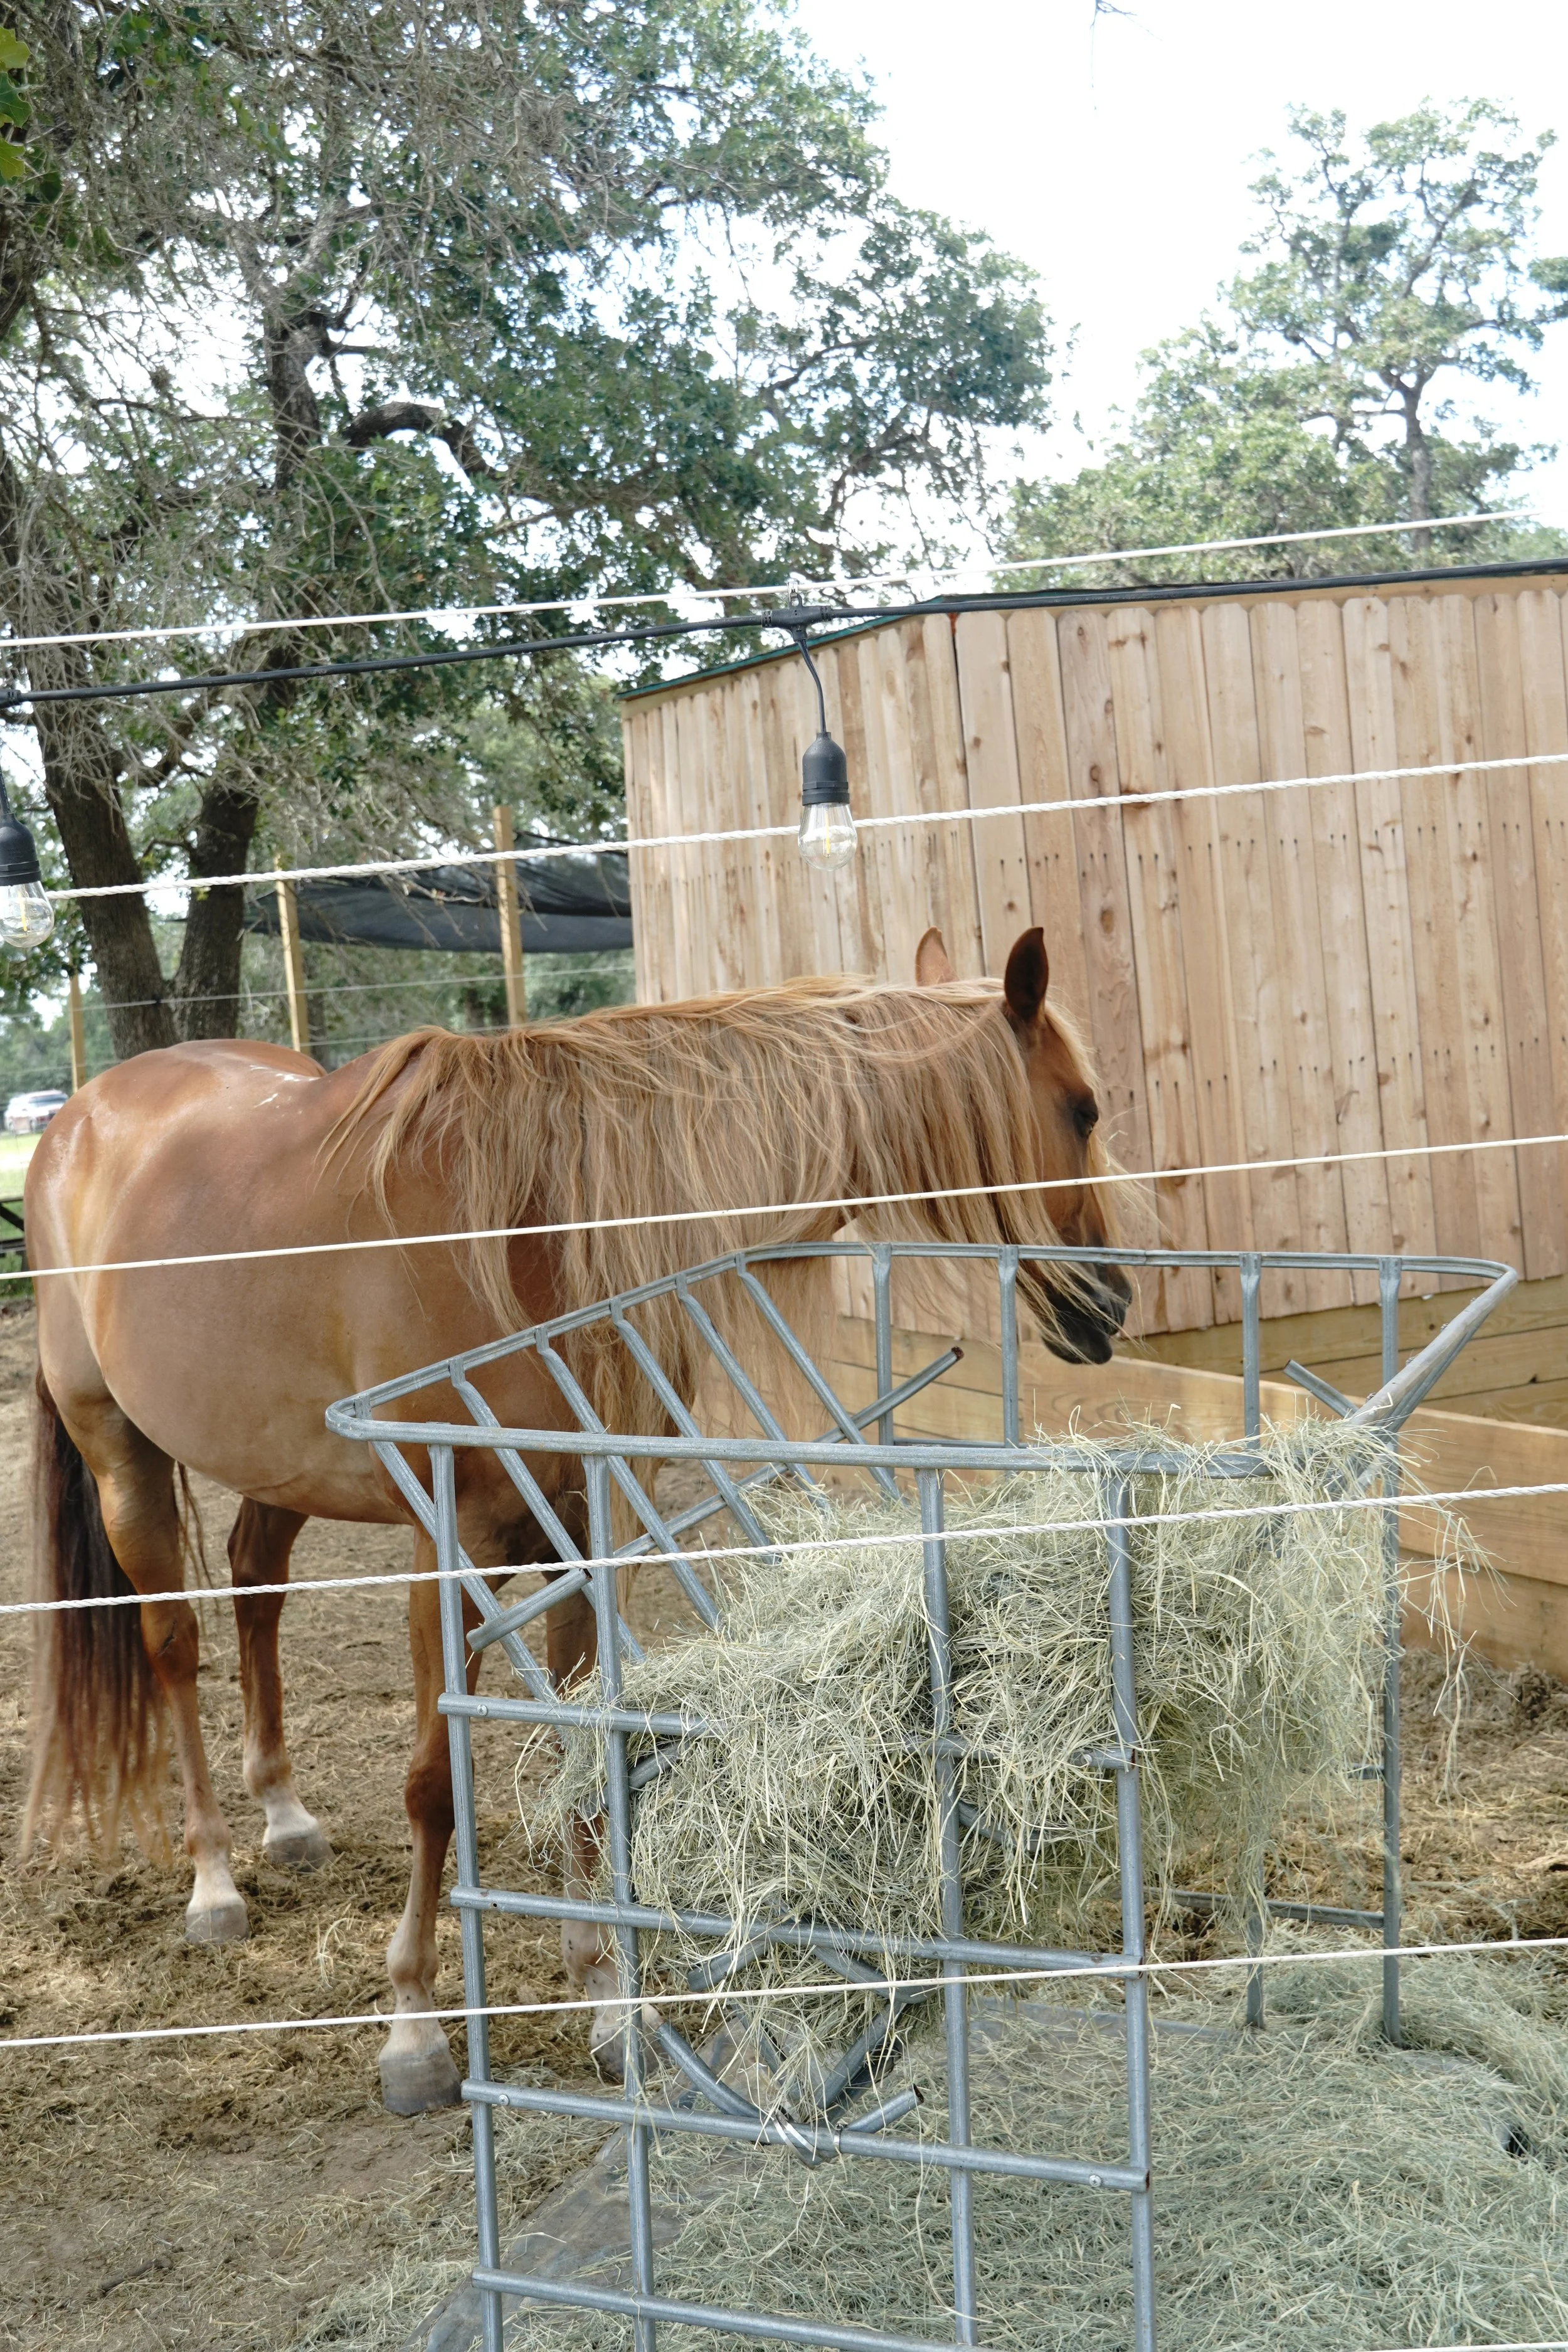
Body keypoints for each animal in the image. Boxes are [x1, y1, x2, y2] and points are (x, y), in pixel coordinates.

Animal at [22, 922, 1129, 2114]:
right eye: (1082, 1109)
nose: (1113, 1306)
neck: (533, 1233)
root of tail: (82, 1118)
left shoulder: (588, 1533)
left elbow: (589, 1769)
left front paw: (609, 2006)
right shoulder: (448, 1552)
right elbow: (434, 1787)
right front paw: (415, 2027)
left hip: (270, 1464)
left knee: (254, 1587)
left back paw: (285, 1816)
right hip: (118, 1450)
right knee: (173, 1644)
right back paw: (216, 1879)